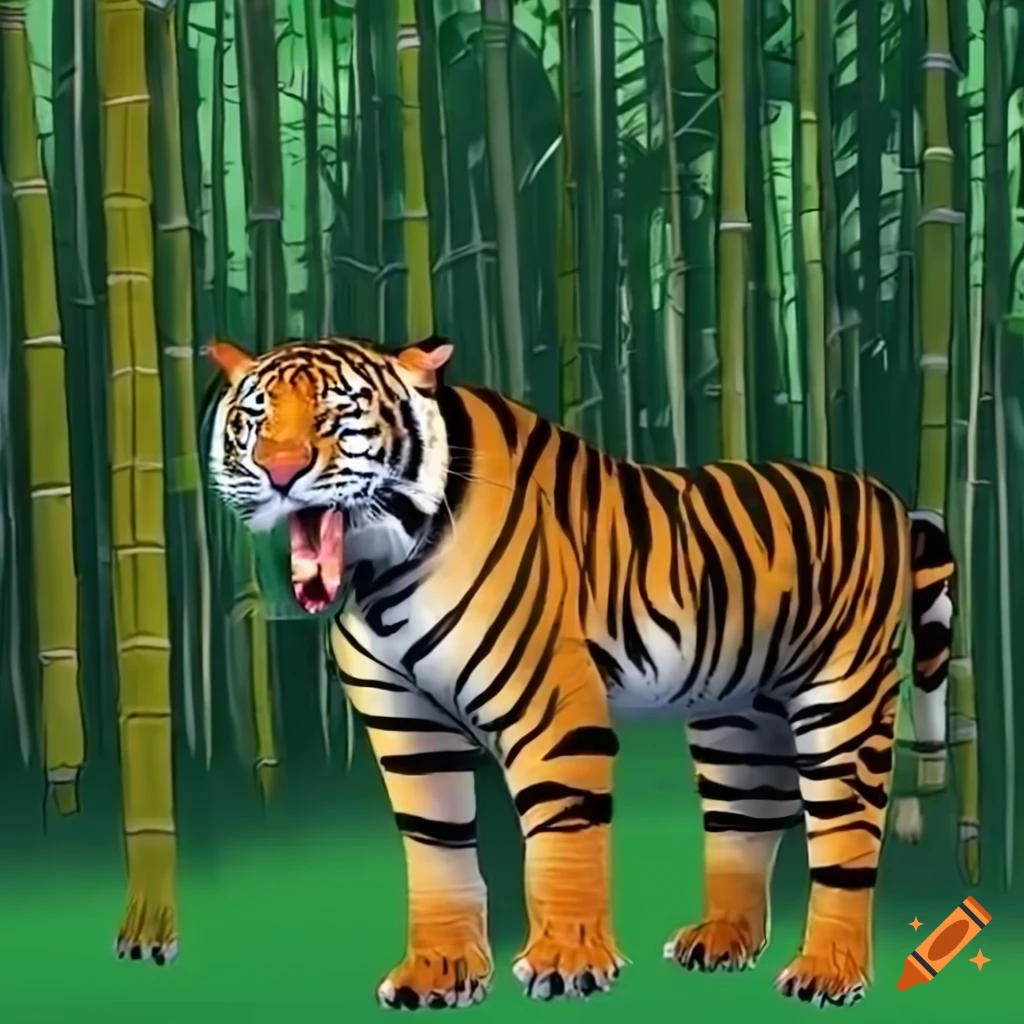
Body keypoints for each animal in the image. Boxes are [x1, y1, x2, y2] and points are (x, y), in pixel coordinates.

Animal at [204, 335, 955, 1011]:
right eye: (254, 417)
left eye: (339, 413)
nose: (279, 471)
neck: (378, 574)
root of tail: (884, 492)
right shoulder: (407, 728)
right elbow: (437, 847)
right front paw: (438, 972)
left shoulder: (547, 711)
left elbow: (562, 839)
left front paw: (567, 965)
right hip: (736, 717)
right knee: (750, 814)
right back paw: (721, 941)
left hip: (843, 704)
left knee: (846, 836)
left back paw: (827, 972)